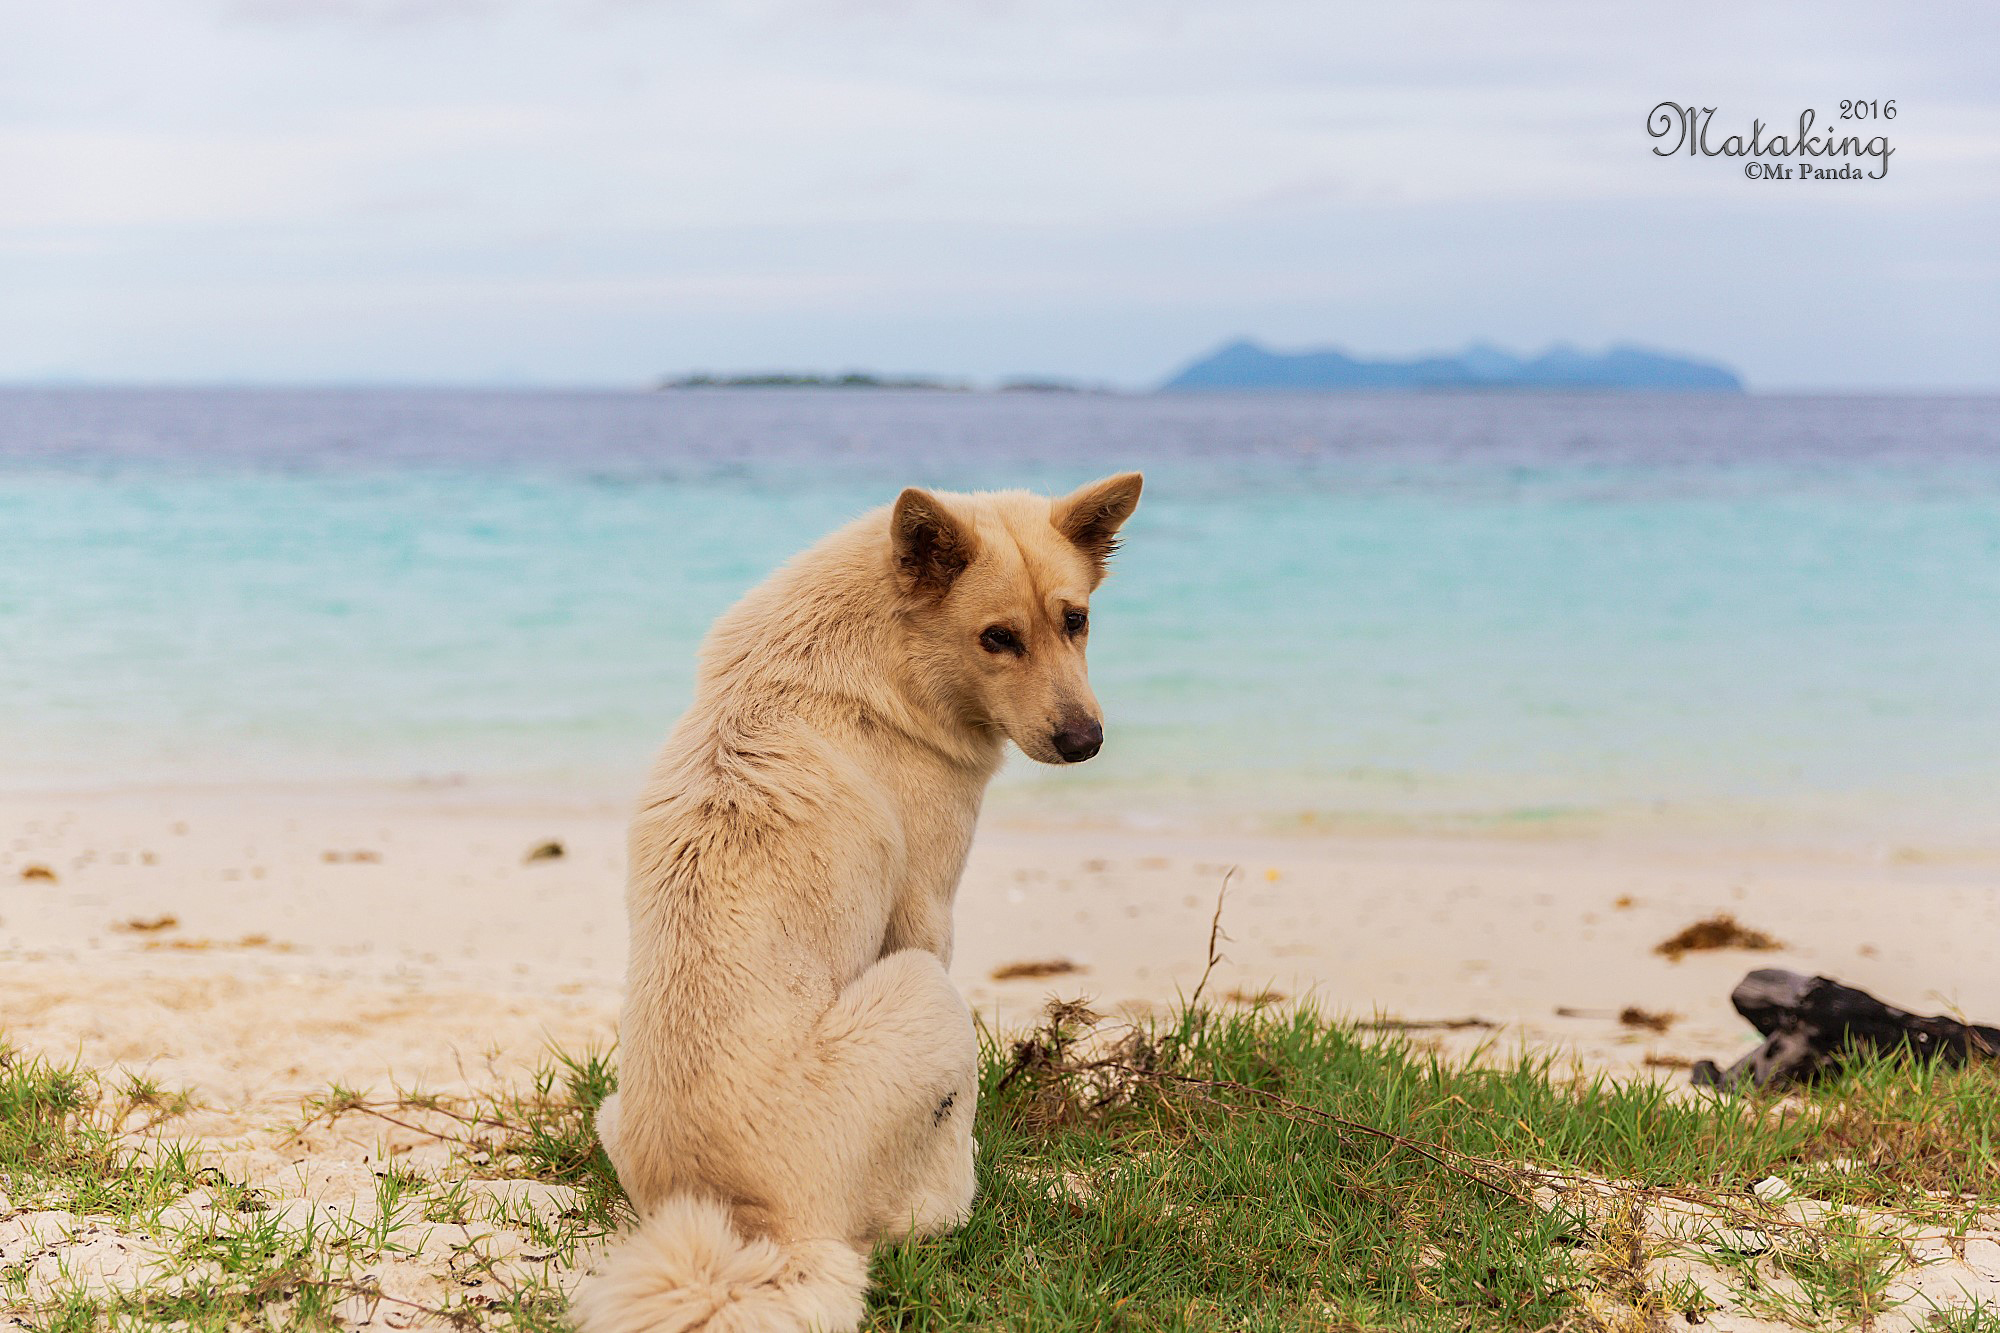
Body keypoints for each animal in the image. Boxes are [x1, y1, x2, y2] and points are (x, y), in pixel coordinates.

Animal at [572, 472, 1152, 1320]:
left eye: (1075, 620)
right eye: (997, 638)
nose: (1086, 741)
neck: (888, 647)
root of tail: (755, 1224)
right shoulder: (925, 912)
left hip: (610, 1106)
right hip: (928, 994)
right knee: (926, 1204)